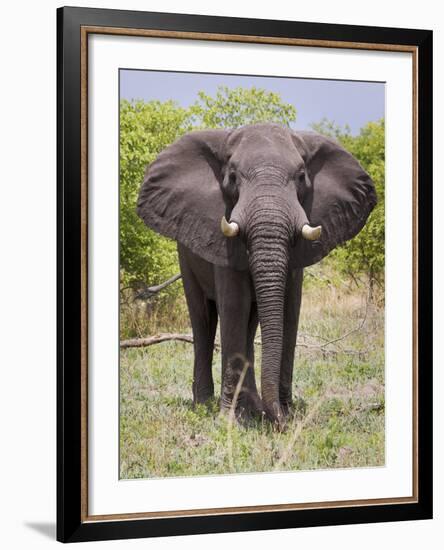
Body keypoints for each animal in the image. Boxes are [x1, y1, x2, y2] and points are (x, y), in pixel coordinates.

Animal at [137, 123, 376, 430]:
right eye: (232, 177)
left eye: (301, 177)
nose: (279, 423)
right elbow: (234, 307)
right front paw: (230, 421)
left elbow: (289, 309)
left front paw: (281, 414)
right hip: (185, 254)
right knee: (203, 318)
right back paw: (204, 405)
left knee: (250, 324)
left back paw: (251, 407)